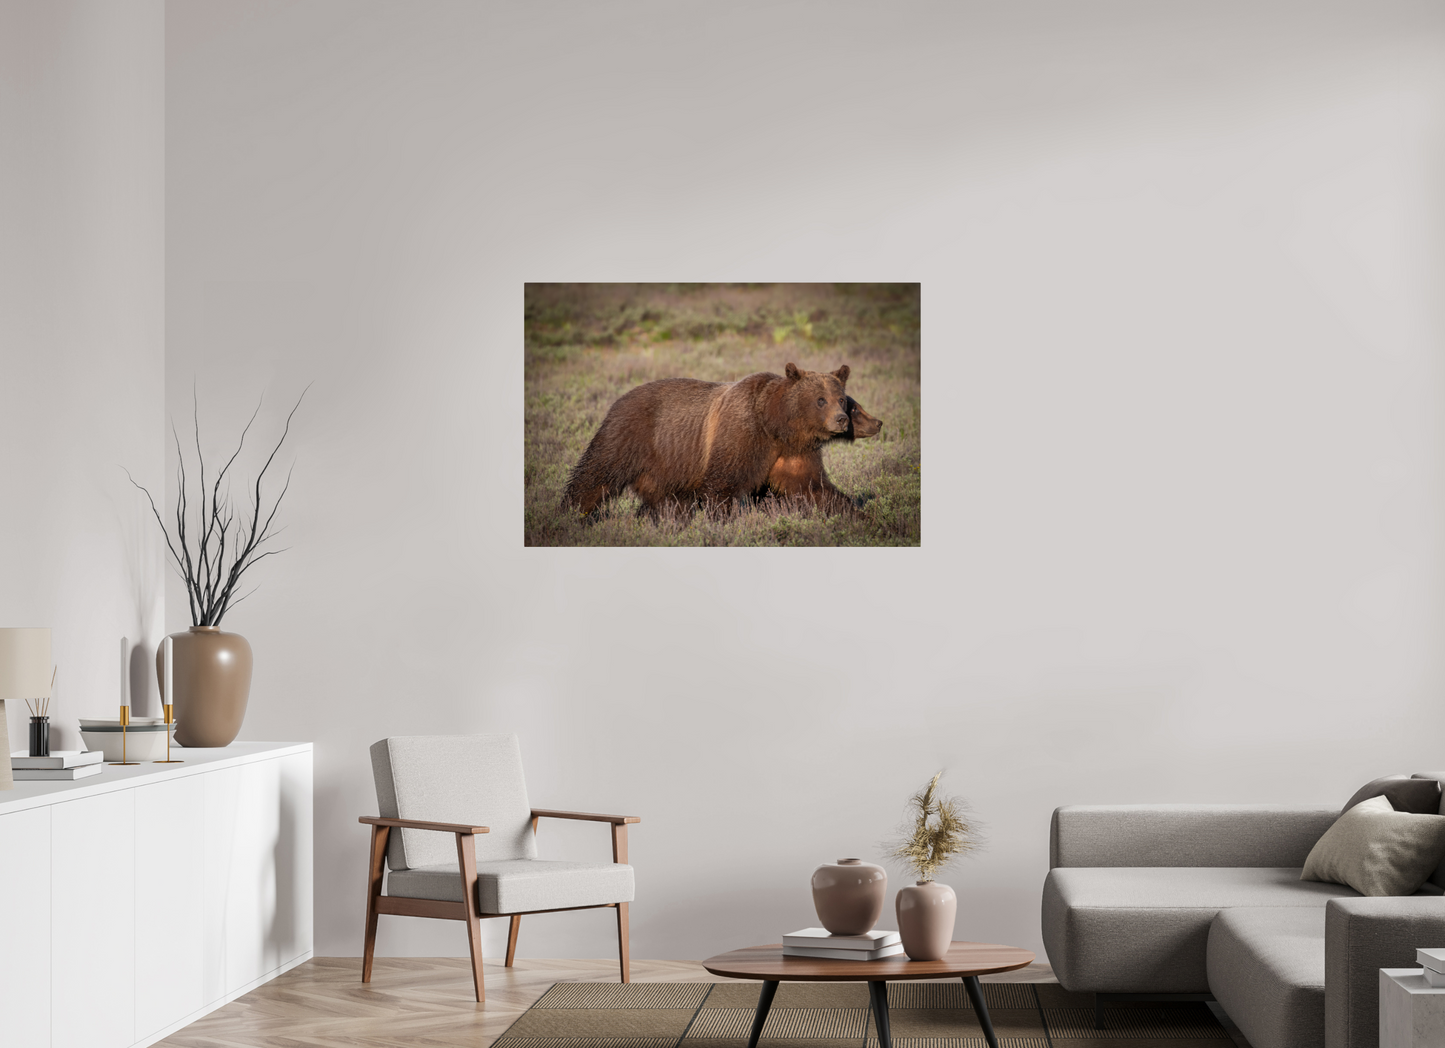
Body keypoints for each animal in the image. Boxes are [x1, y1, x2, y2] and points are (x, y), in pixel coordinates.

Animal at [562, 362, 852, 517]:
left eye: (841, 399)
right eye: (820, 400)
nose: (841, 420)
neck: (776, 426)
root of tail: (618, 399)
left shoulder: (793, 453)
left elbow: (814, 488)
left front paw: (851, 511)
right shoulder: (741, 435)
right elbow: (722, 485)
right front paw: (724, 519)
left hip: (664, 467)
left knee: (667, 501)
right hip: (629, 435)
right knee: (596, 474)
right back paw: (572, 513)